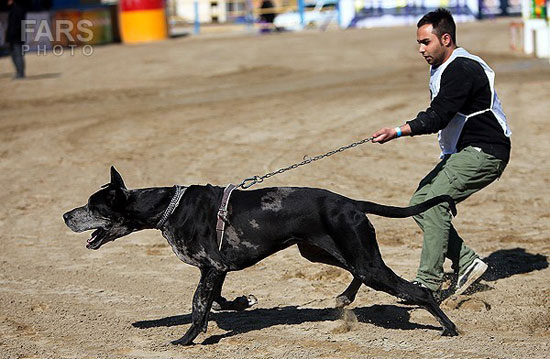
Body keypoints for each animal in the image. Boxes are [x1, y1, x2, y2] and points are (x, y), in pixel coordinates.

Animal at [63, 167, 462, 344]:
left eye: (93, 206)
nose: (66, 215)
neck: (167, 206)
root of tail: (350, 202)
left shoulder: (211, 267)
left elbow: (198, 304)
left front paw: (186, 339)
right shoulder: (218, 269)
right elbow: (216, 301)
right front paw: (242, 302)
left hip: (360, 256)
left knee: (418, 291)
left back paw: (450, 328)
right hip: (325, 252)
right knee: (360, 276)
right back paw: (344, 298)